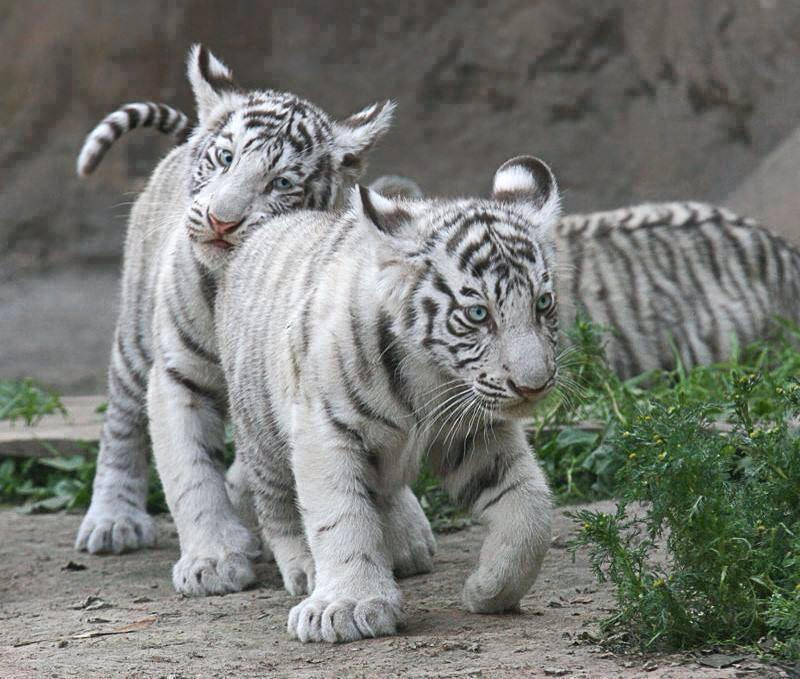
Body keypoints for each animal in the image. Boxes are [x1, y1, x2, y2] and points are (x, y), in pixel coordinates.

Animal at [73, 45, 437, 598]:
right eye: (226, 158)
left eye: (281, 182)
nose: (222, 221)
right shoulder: (177, 374)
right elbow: (190, 472)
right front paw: (212, 559)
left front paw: (400, 533)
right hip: (136, 339)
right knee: (122, 422)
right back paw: (114, 519)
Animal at [216, 155, 560, 643]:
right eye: (478, 314)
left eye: (543, 304)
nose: (534, 385)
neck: (431, 374)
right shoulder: (325, 431)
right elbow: (340, 516)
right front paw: (346, 605)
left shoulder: (475, 433)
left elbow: (531, 508)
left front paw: (489, 589)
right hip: (261, 429)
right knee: (277, 503)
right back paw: (304, 568)